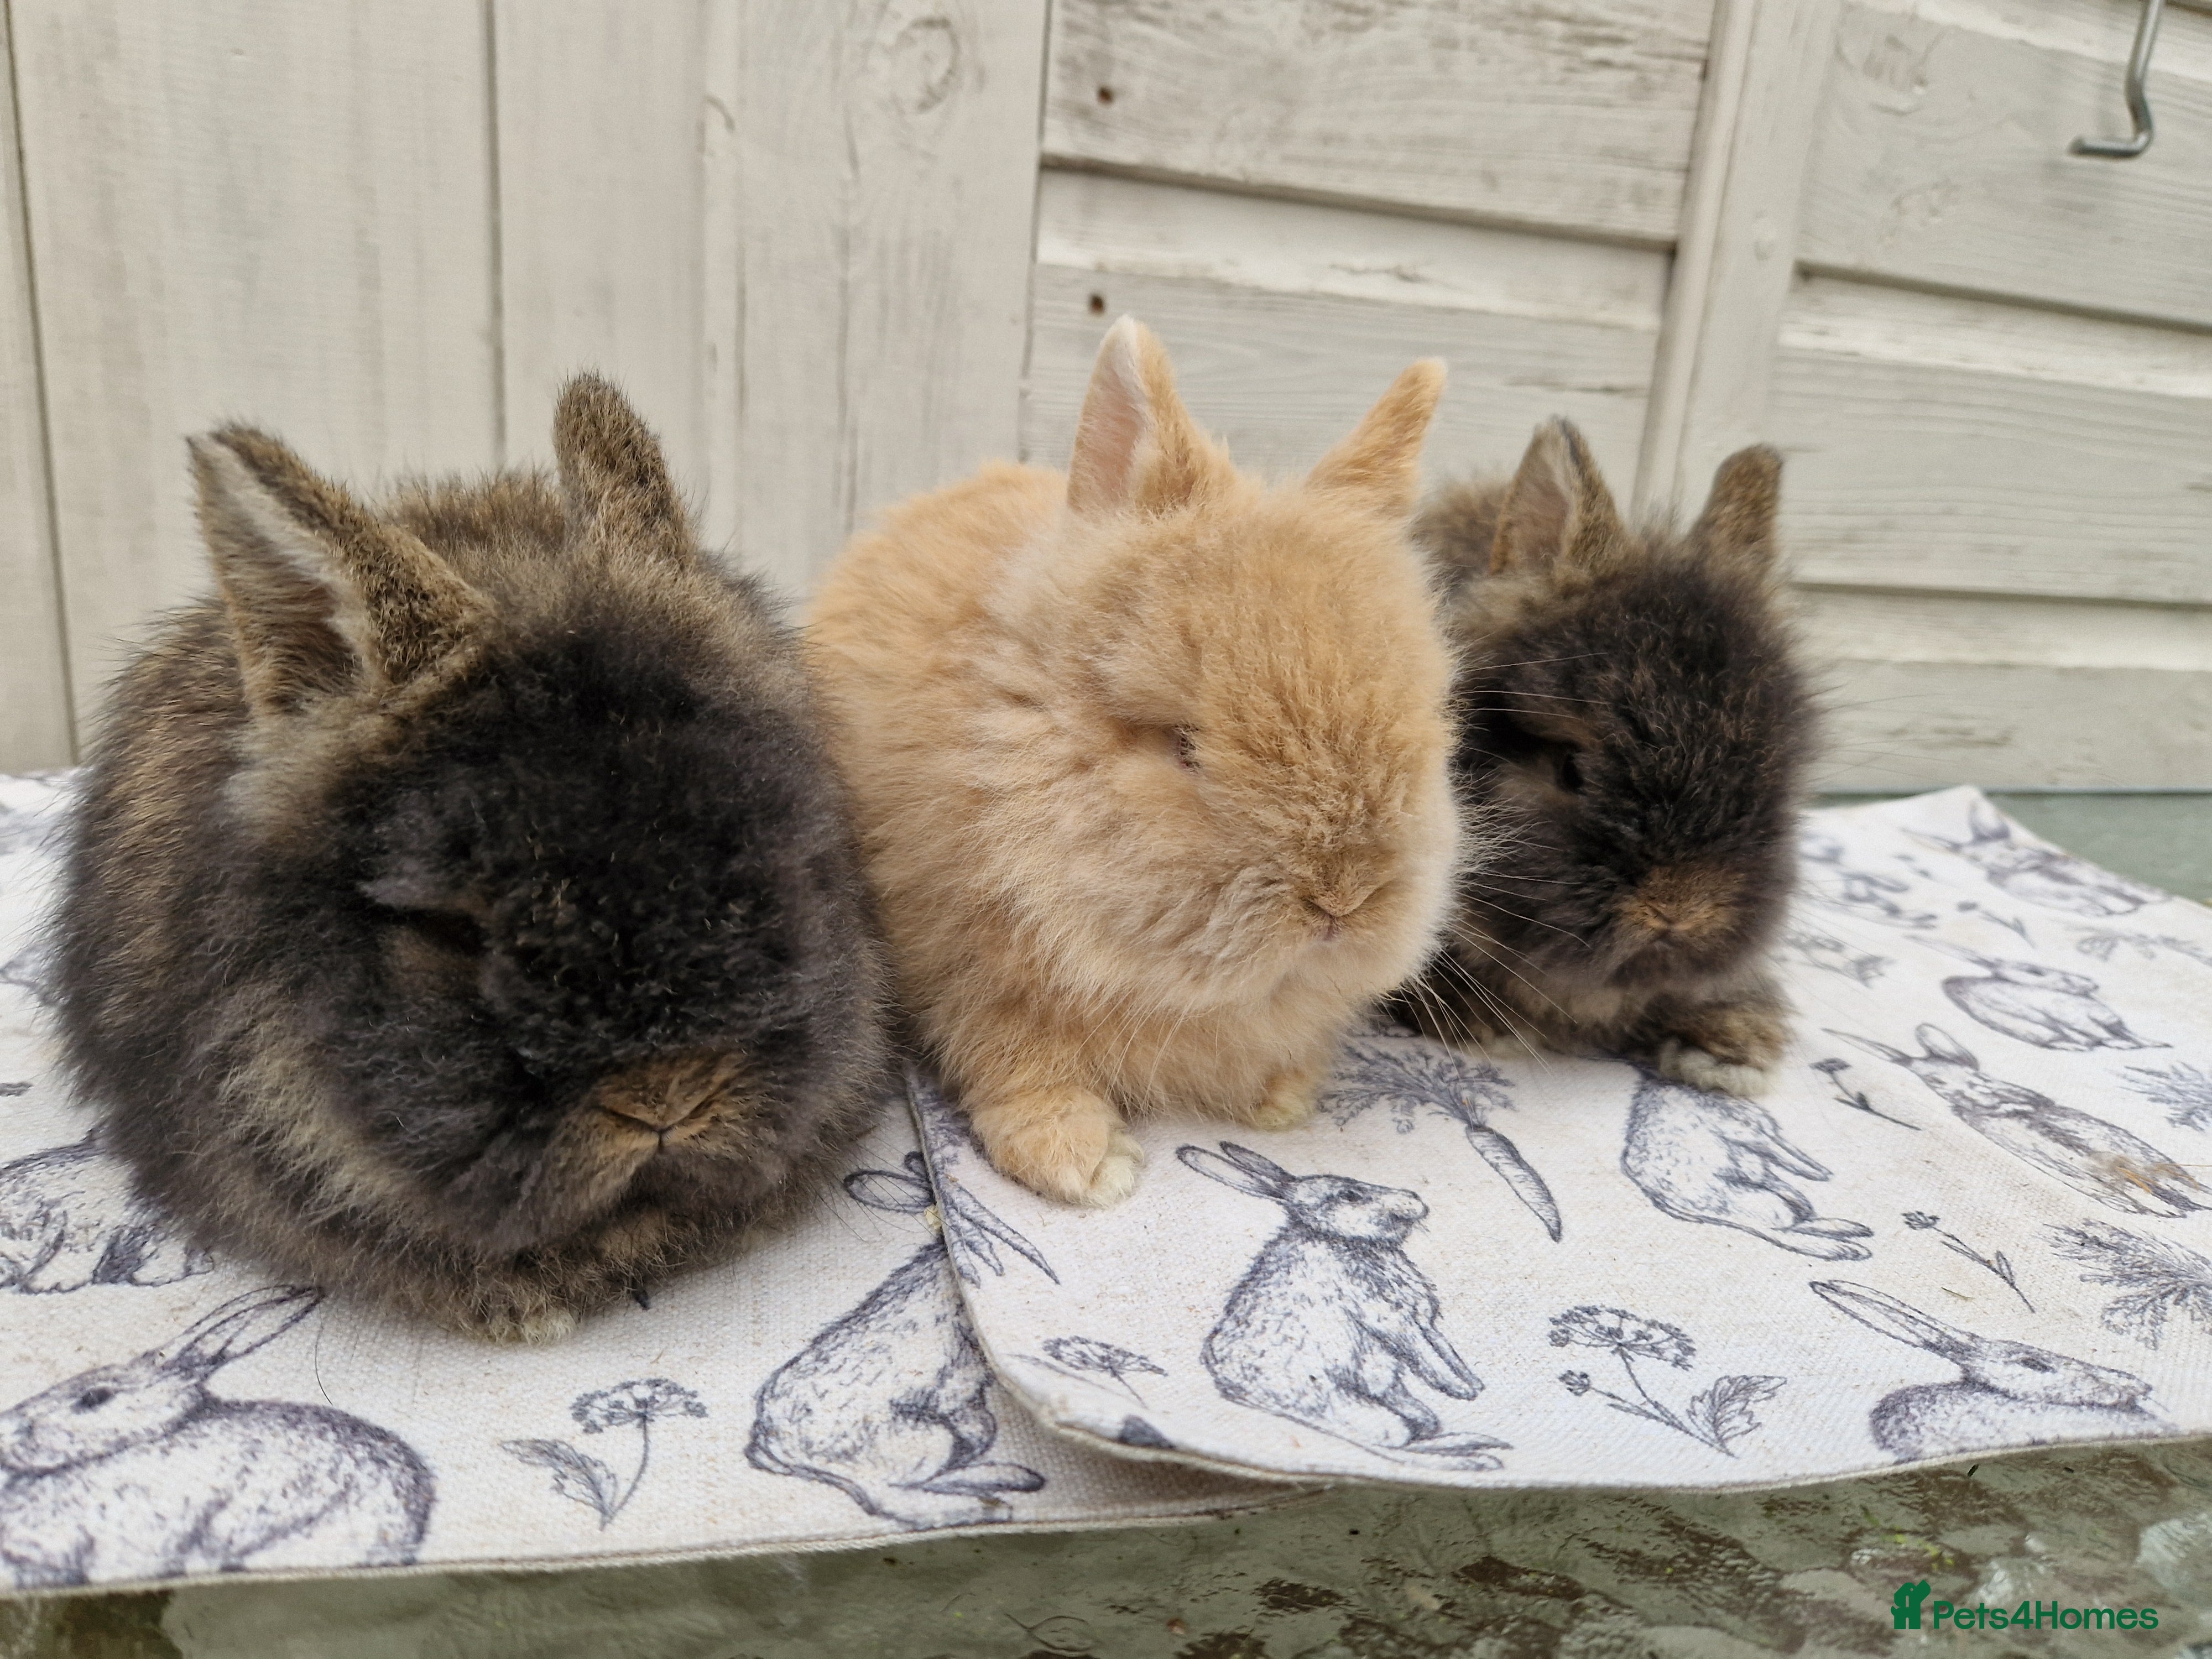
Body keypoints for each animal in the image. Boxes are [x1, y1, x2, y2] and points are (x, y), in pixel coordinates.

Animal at [807, 316, 1462, 1207]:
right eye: (1181, 744)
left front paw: (1281, 1100)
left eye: (1429, 725)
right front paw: (1084, 1164)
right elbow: (1018, 1062)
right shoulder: (974, 970)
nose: (1342, 901)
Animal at [1177, 1142, 1508, 1467]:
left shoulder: (1423, 1319)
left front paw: (1473, 1384)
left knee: (1418, 1427)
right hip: (1352, 1409)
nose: (1414, 1200)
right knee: (1391, 1443)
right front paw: (1463, 1391)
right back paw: (1476, 1456)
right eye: (1350, 1196)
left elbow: (1443, 1349)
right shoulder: (1391, 1320)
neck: (1344, 1240)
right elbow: (1425, 1356)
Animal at [1620, 1070, 1874, 1259]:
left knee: (1797, 1217)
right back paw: (1846, 1249)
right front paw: (1819, 1173)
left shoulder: (1762, 1132)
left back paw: (1851, 1229)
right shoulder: (1749, 1132)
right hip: (1759, 1204)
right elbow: (1781, 1152)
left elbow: (1784, 1150)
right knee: (1780, 1232)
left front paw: (1819, 1171)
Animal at [1917, 939, 2163, 1053]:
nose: (2092, 983)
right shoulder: (2071, 1020)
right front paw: (2124, 1046)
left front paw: (2156, 1044)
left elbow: (2128, 1033)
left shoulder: (2110, 1021)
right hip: (2032, 1030)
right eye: (2035, 972)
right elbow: (2100, 1033)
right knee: (2059, 1041)